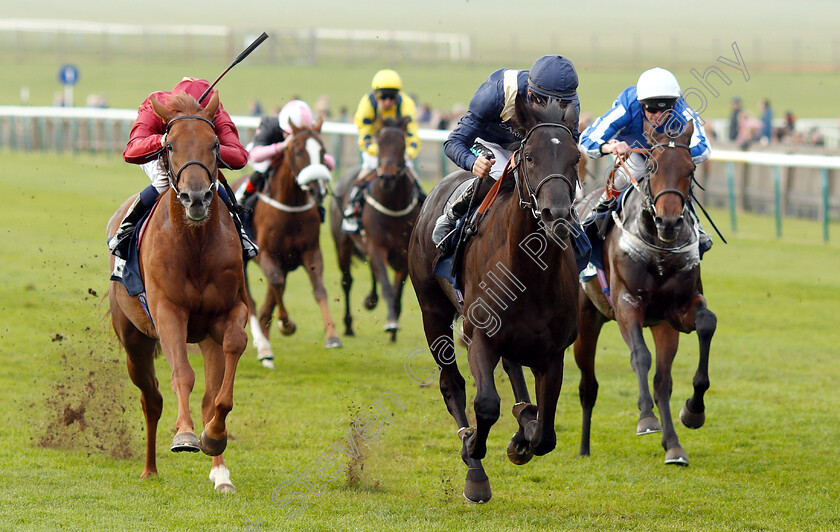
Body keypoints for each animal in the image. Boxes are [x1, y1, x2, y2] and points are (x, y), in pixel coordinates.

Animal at [107, 91, 249, 494]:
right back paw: (149, 468)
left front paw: (213, 437)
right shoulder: (167, 312)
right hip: (134, 340)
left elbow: (233, 349)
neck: (194, 244)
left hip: (205, 339)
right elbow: (181, 375)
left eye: (215, 144)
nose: (196, 198)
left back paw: (220, 473)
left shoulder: (230, 311)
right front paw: (184, 435)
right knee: (151, 398)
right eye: (169, 146)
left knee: (209, 394)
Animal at [235, 118, 340, 368]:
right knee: (252, 301)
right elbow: (275, 283)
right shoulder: (267, 254)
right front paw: (286, 324)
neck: (291, 209)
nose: (318, 190)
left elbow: (319, 290)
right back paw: (262, 345)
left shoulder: (310, 253)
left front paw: (332, 336)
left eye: (322, 151)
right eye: (299, 151)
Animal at [328, 117, 420, 342]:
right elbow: (387, 286)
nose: (387, 178)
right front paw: (391, 323)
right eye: (380, 144)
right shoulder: (377, 246)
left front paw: (393, 325)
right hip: (342, 245)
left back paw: (371, 300)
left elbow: (397, 291)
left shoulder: (403, 254)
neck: (393, 205)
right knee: (347, 282)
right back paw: (349, 325)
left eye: (402, 144)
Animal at [408, 98, 580, 502]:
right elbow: (485, 405)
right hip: (432, 312)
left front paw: (524, 436)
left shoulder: (553, 352)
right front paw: (473, 450)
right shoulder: (480, 337)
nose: (556, 215)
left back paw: (523, 416)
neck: (531, 273)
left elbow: (546, 433)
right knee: (452, 384)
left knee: (514, 370)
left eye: (576, 157)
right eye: (529, 157)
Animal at [576, 117, 720, 466]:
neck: (659, 250)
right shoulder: (627, 304)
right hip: (586, 320)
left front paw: (693, 411)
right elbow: (640, 355)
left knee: (662, 383)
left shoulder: (679, 310)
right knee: (588, 386)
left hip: (662, 326)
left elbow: (706, 324)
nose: (668, 222)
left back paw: (674, 447)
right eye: (652, 167)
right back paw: (583, 448)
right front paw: (646, 418)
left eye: (689, 170)